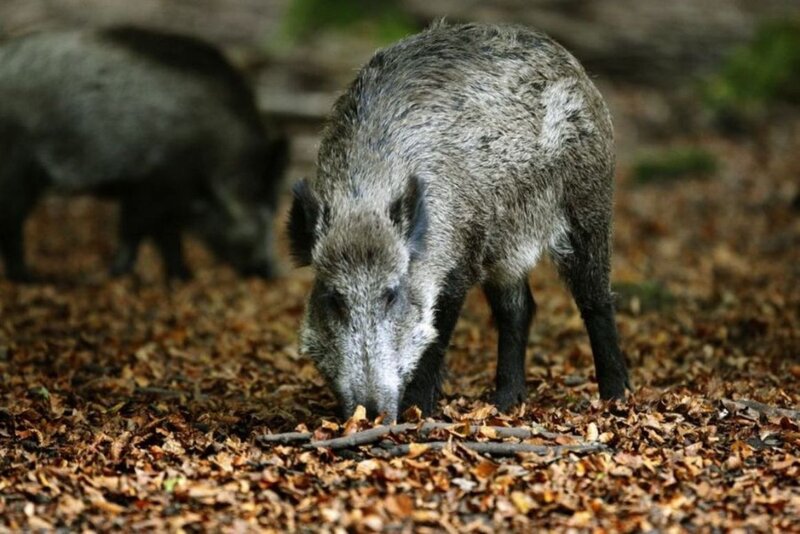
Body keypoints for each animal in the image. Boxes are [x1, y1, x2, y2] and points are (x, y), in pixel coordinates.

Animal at [0, 26, 288, 281]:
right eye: (262, 206)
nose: (271, 273)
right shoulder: (153, 183)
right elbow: (136, 232)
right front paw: (115, 275)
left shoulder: (171, 198)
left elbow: (167, 239)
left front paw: (183, 278)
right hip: (16, 164)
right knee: (11, 221)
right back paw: (29, 278)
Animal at [288, 22, 631, 421]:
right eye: (333, 298)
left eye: (392, 294)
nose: (369, 412)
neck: (366, 200)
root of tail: (577, 69)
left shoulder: (458, 260)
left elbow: (435, 336)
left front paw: (416, 412)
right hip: (504, 246)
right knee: (518, 308)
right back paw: (504, 403)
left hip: (588, 204)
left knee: (595, 298)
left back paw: (616, 397)